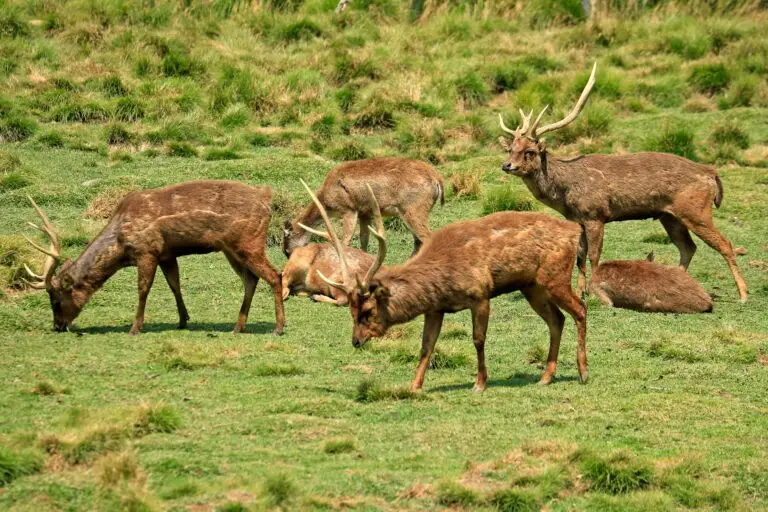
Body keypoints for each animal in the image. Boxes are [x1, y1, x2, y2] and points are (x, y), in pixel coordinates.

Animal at [21, 180, 285, 335]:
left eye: (55, 300)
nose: (57, 326)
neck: (121, 243)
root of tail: (267, 199)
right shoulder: (166, 254)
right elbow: (174, 284)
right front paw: (183, 319)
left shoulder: (147, 250)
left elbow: (143, 288)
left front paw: (135, 327)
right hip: (231, 249)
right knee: (251, 279)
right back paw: (238, 326)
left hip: (249, 242)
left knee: (274, 275)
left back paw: (279, 327)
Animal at [283, 157, 444, 258]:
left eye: (287, 238)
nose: (287, 254)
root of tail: (437, 180)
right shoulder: (364, 213)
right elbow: (364, 239)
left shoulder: (349, 209)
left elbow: (345, 240)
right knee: (418, 241)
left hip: (414, 209)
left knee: (426, 237)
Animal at [297, 178, 587, 392]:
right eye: (352, 311)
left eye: (368, 311)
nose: (356, 341)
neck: (440, 281)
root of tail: (574, 232)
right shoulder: (435, 309)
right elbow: (426, 346)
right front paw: (414, 386)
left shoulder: (480, 294)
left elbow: (478, 339)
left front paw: (479, 383)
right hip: (531, 286)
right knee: (557, 319)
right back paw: (546, 377)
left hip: (555, 276)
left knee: (580, 309)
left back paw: (583, 372)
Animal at [497, 62, 748, 303]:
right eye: (511, 149)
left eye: (529, 151)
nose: (507, 165)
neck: (565, 192)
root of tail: (712, 173)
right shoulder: (578, 220)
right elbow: (580, 256)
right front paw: (579, 292)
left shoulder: (596, 214)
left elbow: (594, 255)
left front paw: (594, 293)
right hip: (670, 216)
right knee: (688, 247)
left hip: (696, 210)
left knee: (724, 244)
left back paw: (743, 295)